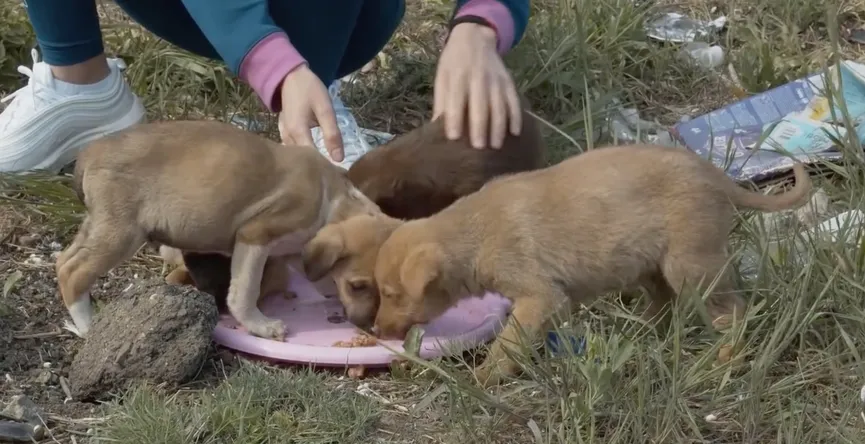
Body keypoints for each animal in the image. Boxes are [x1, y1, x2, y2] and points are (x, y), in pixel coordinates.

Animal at [55, 120, 376, 340]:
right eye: (359, 285)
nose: (370, 327)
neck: (330, 194)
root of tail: (91, 152)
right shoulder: (255, 234)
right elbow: (246, 290)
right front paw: (262, 325)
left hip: (98, 225)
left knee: (63, 261)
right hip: (121, 233)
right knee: (74, 273)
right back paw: (89, 328)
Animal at [372, 143, 808, 386]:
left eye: (391, 294)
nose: (374, 330)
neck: (473, 232)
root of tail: (717, 177)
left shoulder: (540, 296)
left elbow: (509, 341)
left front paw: (486, 376)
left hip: (690, 265)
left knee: (733, 310)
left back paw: (729, 354)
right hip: (652, 266)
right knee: (663, 305)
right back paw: (642, 334)